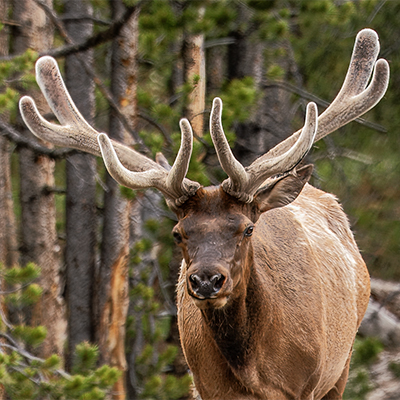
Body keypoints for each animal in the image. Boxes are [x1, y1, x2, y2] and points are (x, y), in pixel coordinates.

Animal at [20, 28, 390, 400]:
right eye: (178, 233)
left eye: (248, 229)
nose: (206, 280)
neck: (255, 370)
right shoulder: (208, 385)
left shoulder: (308, 383)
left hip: (342, 363)